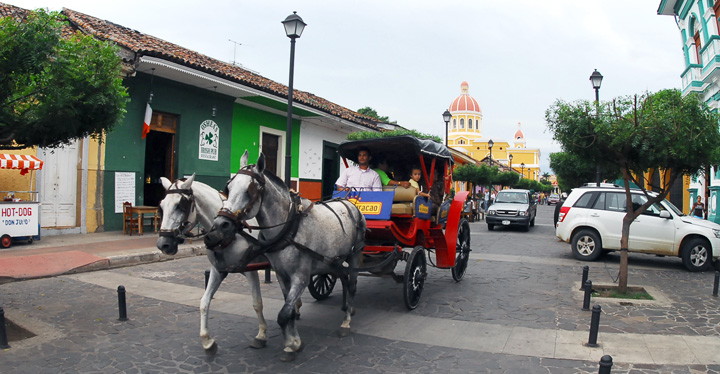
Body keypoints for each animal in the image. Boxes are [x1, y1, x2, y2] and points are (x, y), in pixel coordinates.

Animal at [156, 174, 272, 352]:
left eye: (179, 206)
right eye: (161, 206)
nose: (164, 244)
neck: (226, 233)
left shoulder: (251, 270)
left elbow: (257, 303)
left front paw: (261, 335)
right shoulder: (218, 270)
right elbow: (204, 302)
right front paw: (207, 340)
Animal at [207, 151, 368, 362]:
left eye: (249, 190)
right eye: (228, 187)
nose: (220, 225)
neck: (289, 227)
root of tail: (350, 202)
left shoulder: (300, 277)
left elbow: (284, 314)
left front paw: (291, 345)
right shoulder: (282, 275)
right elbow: (289, 311)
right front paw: (293, 342)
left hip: (355, 254)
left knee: (352, 285)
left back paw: (346, 321)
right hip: (334, 260)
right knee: (343, 278)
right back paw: (346, 308)